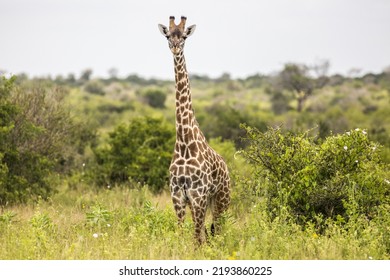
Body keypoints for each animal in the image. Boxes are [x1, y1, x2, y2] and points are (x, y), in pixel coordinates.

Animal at [158, 16, 232, 244]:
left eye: (183, 36)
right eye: (168, 35)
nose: (175, 47)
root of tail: (226, 168)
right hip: (203, 203)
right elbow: (183, 233)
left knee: (218, 231)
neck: (184, 141)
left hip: (221, 199)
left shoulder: (198, 195)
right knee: (208, 232)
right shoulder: (178, 196)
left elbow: (196, 238)